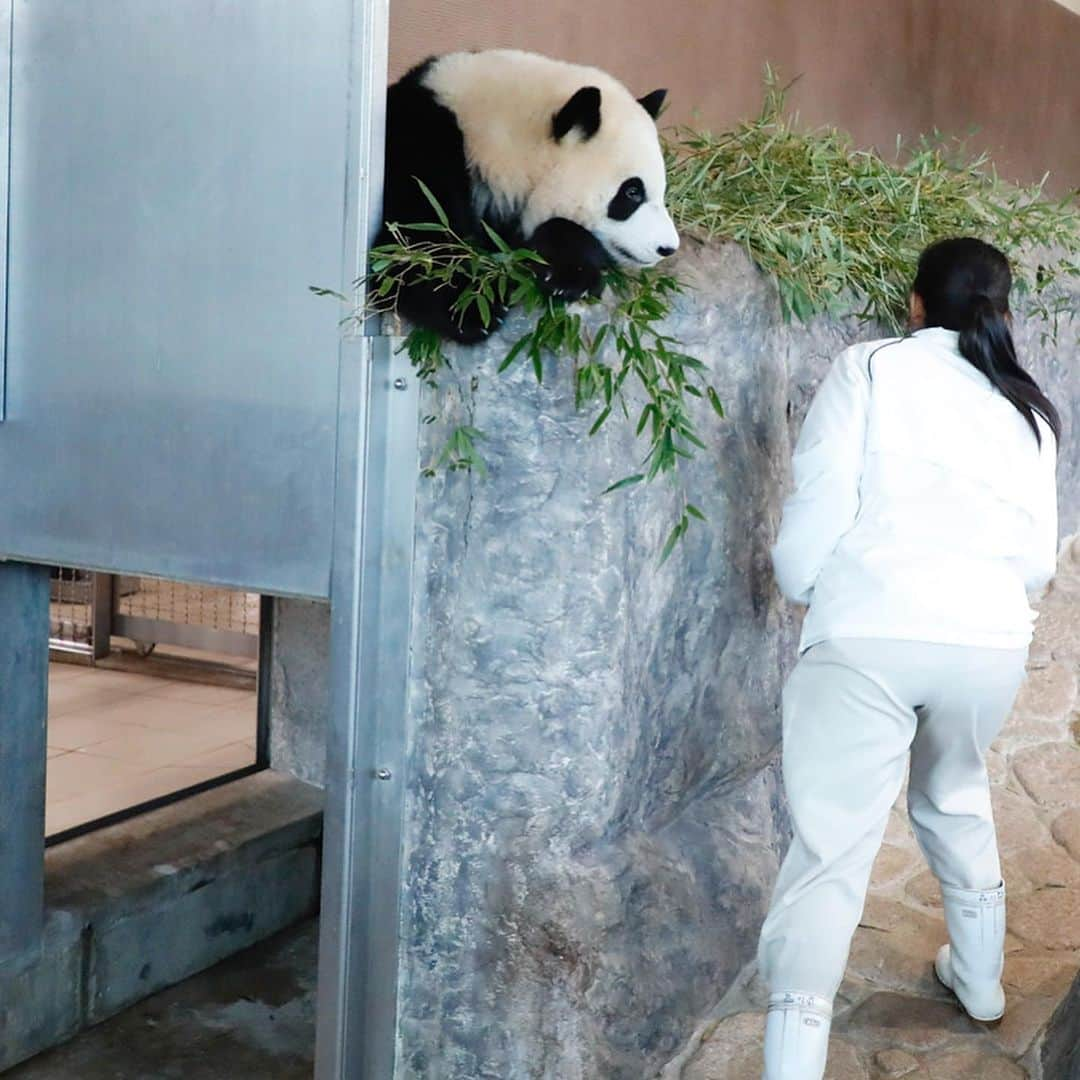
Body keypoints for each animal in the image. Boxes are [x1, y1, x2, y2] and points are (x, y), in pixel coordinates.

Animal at [380, 49, 678, 341]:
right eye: (632, 192)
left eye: (662, 189)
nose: (667, 248)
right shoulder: (420, 151)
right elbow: (409, 247)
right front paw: (474, 308)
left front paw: (571, 274)